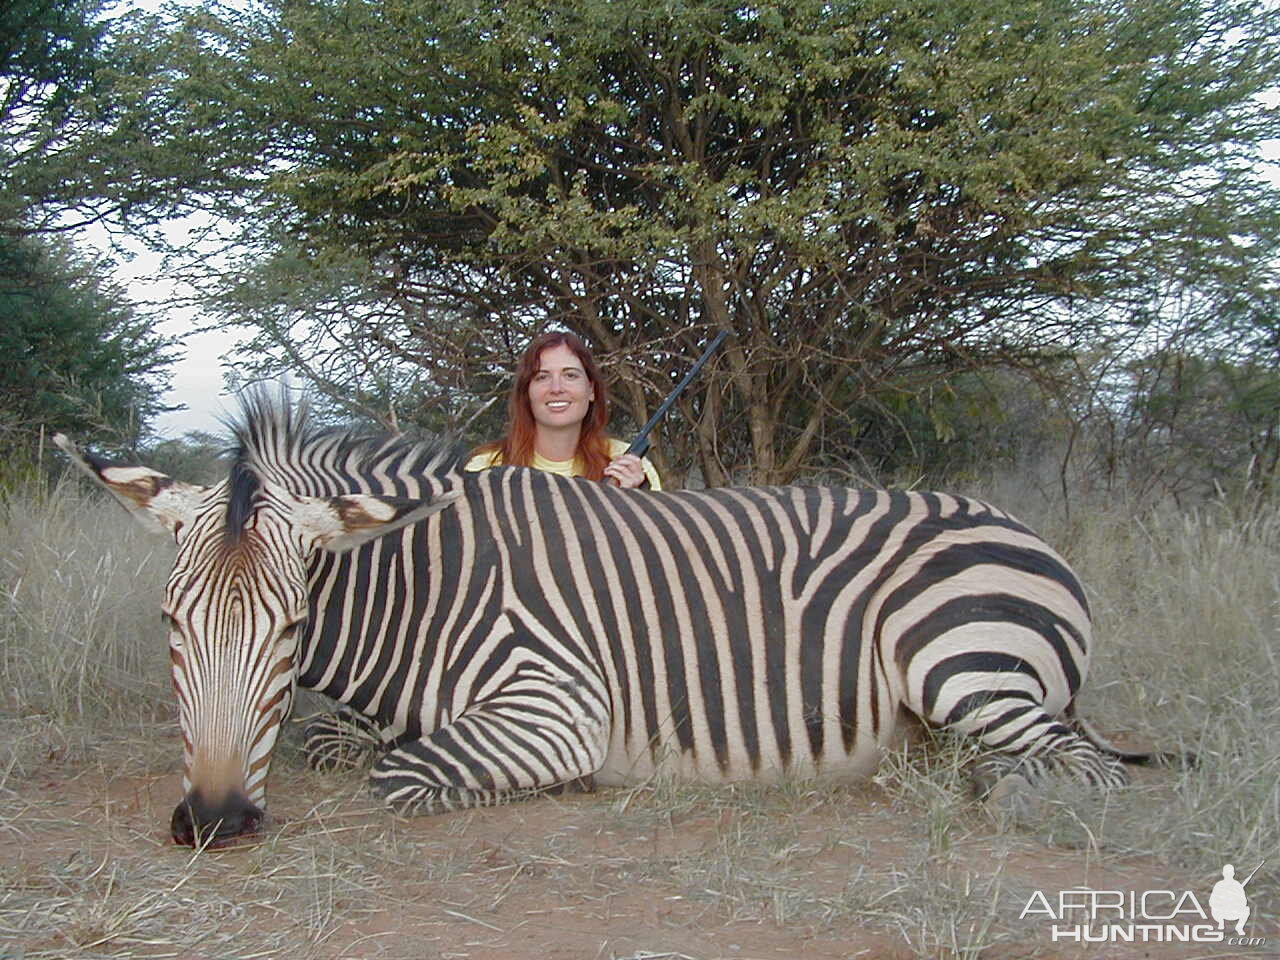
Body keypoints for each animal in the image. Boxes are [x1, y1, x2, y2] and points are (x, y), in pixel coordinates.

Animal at [55, 394, 1167, 844]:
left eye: (290, 629)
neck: (423, 588)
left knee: (1085, 769)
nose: (214, 822)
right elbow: (341, 740)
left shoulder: (557, 704)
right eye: (171, 625)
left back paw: (1001, 794)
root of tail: (1023, 529)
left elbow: (399, 773)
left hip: (959, 661)